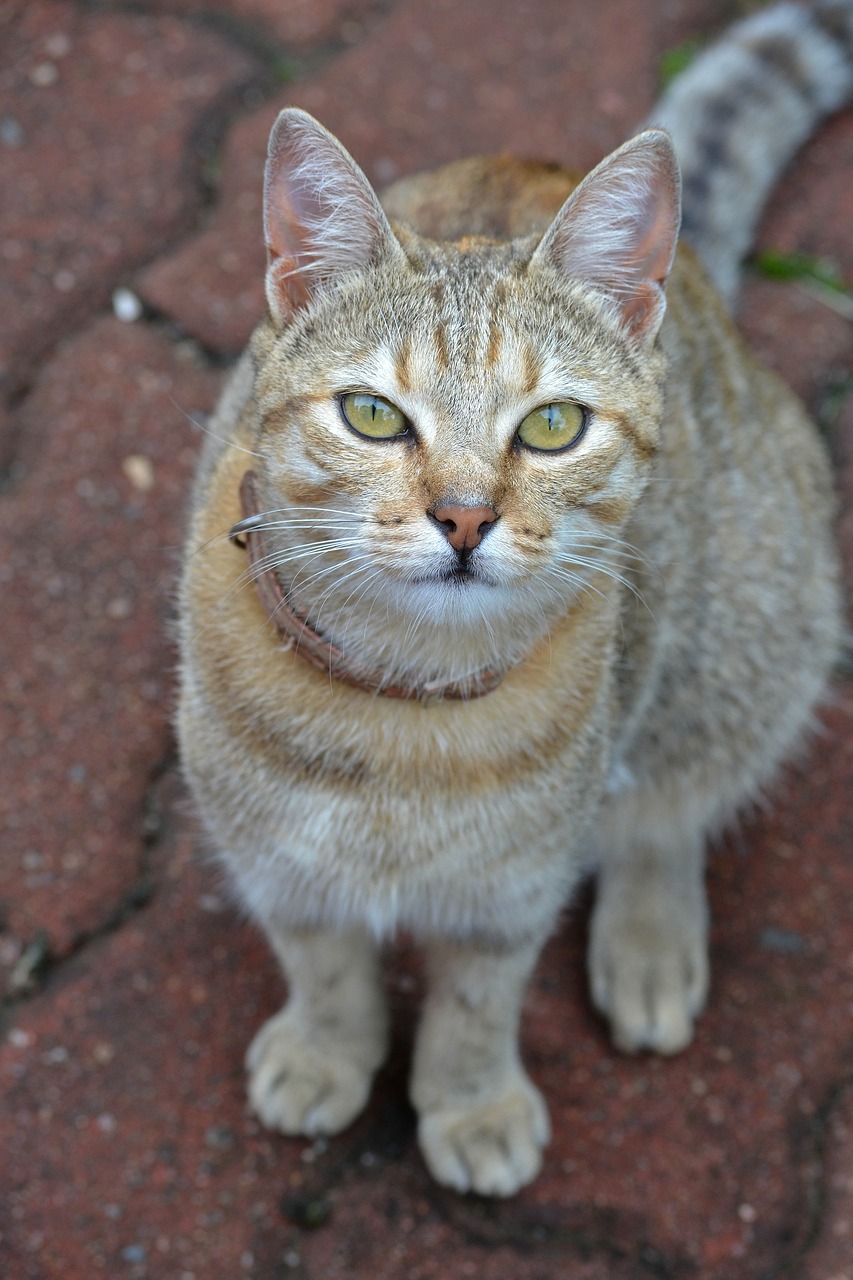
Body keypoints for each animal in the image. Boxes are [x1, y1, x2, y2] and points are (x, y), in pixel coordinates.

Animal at [175, 2, 845, 1198]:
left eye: (550, 426)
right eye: (371, 414)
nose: (463, 516)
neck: (397, 709)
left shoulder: (511, 898)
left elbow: (475, 1007)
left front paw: (470, 1102)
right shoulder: (275, 867)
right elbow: (324, 967)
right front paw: (326, 1050)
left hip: (752, 627)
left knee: (667, 806)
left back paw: (649, 940)